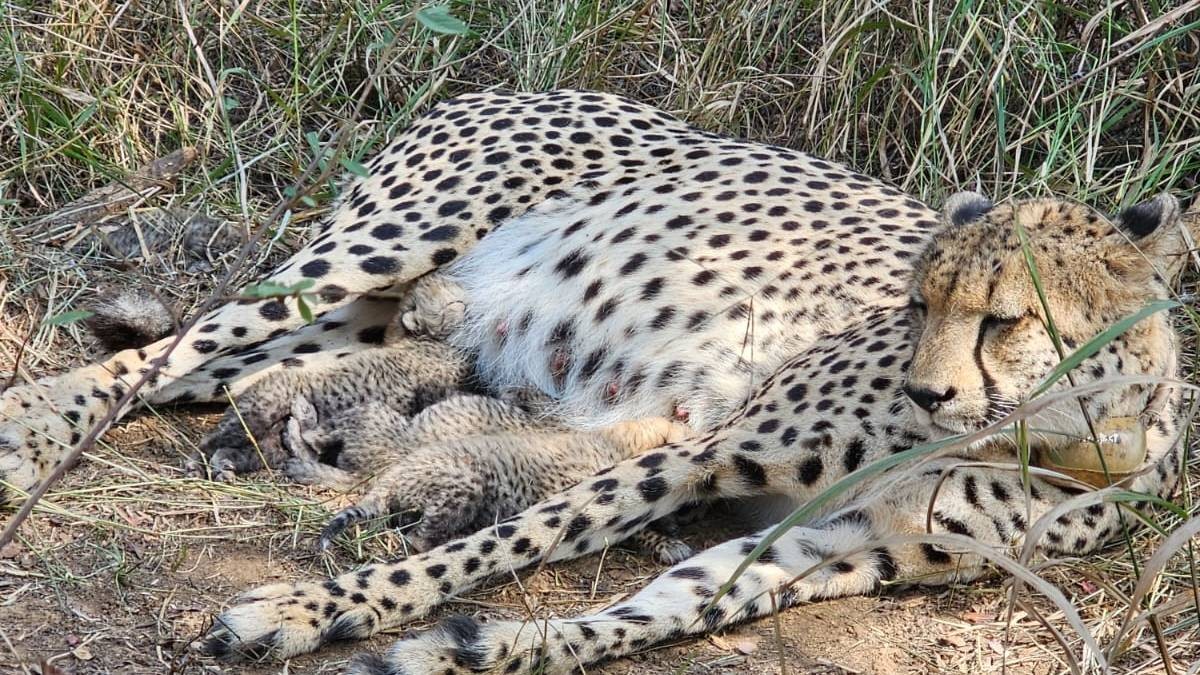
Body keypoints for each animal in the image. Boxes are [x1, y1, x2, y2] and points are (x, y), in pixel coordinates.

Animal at [0, 89, 1192, 674]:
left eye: (1005, 319)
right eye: (916, 304)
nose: (928, 395)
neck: (1060, 434)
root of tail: (505, 81)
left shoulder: (846, 547)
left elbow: (660, 607)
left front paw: (488, 649)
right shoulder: (706, 451)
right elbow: (514, 540)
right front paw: (314, 609)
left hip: (364, 318)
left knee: (217, 378)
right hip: (373, 250)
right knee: (160, 354)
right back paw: (30, 429)